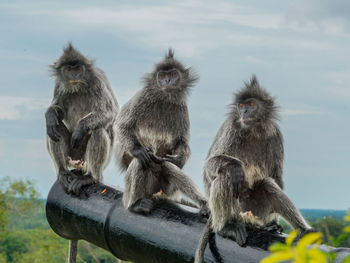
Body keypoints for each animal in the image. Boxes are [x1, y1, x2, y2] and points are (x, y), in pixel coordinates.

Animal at [45, 43, 119, 263]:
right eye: (69, 70)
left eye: (78, 68)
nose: (74, 75)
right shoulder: (60, 85)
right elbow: (56, 110)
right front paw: (50, 114)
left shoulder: (98, 80)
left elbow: (110, 112)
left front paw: (81, 127)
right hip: (72, 153)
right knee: (54, 129)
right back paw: (63, 172)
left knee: (99, 129)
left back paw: (91, 178)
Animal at [115, 49, 208, 217]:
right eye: (163, 75)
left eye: (174, 74)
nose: (168, 81)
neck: (164, 98)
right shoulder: (141, 98)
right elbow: (122, 126)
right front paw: (137, 150)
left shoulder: (181, 108)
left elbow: (181, 141)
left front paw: (180, 158)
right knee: (141, 161)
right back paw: (135, 204)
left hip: (166, 189)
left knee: (167, 165)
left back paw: (204, 204)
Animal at [194, 75, 312, 262]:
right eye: (241, 106)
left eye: (251, 104)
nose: (244, 113)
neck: (253, 130)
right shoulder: (231, 128)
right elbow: (210, 164)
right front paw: (235, 166)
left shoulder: (275, 134)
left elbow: (275, 175)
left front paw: (274, 223)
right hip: (236, 211)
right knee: (225, 176)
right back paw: (225, 227)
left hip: (256, 210)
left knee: (268, 184)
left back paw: (301, 230)